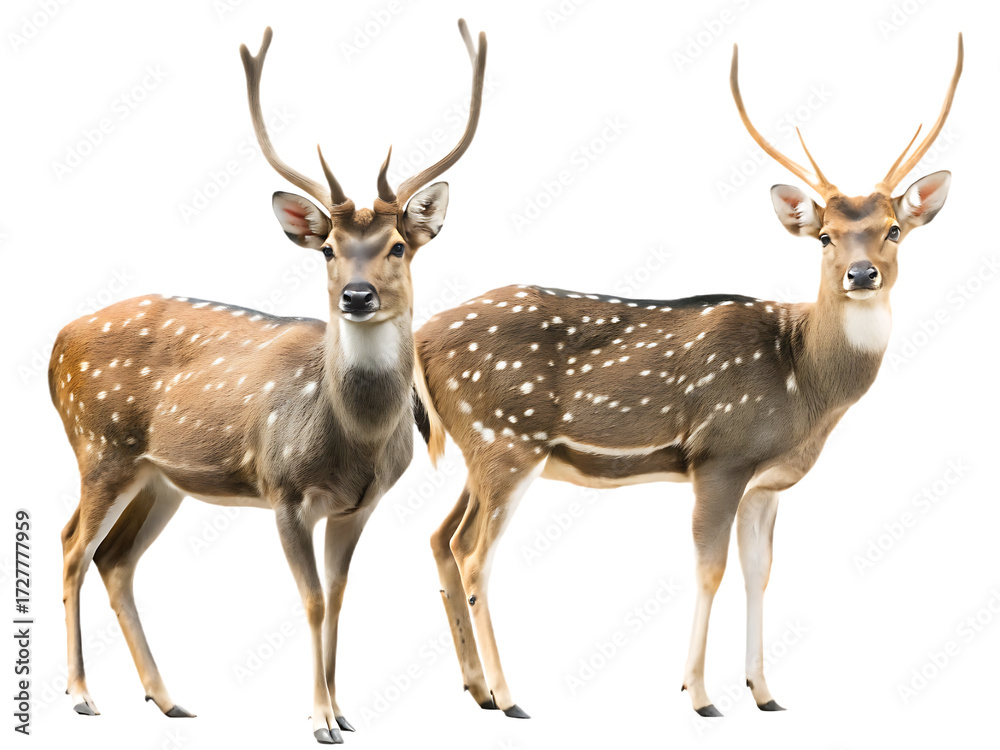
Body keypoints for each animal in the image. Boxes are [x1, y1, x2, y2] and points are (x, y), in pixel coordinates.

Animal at [48, 20, 487, 744]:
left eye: (398, 245)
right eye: (330, 249)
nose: (357, 296)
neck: (352, 442)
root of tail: (53, 346)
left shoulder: (361, 504)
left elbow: (338, 595)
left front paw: (345, 711)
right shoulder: (282, 488)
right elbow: (309, 600)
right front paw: (319, 719)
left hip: (159, 476)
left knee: (116, 560)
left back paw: (168, 698)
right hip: (98, 445)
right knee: (71, 546)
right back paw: (82, 695)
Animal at [411, 35, 961, 719]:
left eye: (893, 229)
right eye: (825, 237)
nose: (862, 275)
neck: (804, 387)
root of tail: (418, 339)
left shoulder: (766, 480)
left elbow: (760, 572)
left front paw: (765, 693)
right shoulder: (719, 454)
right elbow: (710, 568)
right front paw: (699, 695)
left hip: (477, 450)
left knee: (439, 537)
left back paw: (479, 689)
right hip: (506, 440)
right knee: (471, 553)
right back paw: (511, 696)